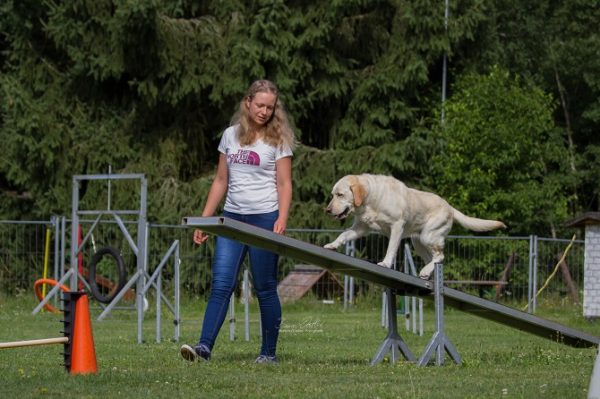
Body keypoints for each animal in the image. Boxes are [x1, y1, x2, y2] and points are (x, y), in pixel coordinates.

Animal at [324, 173, 506, 280]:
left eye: (340, 195)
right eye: (333, 195)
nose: (327, 210)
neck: (371, 199)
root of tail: (450, 207)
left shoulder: (397, 226)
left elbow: (391, 248)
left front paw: (385, 263)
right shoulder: (360, 228)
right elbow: (343, 235)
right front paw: (332, 245)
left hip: (428, 236)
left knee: (440, 256)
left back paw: (425, 272)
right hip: (417, 242)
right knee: (433, 259)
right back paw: (426, 273)